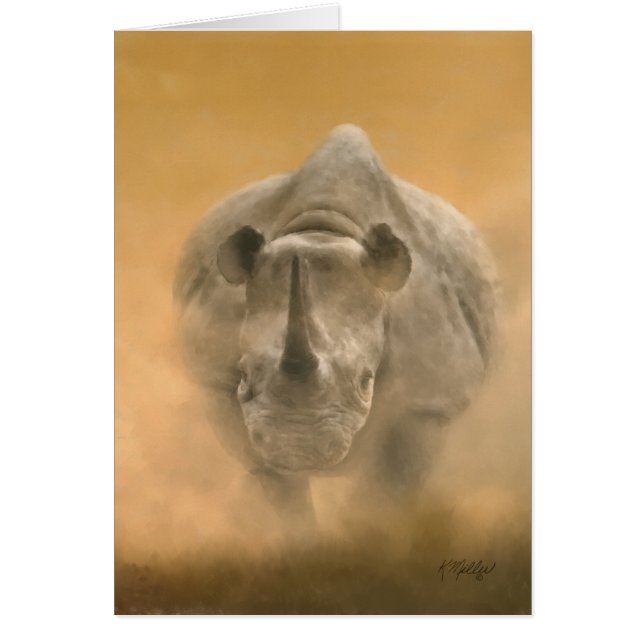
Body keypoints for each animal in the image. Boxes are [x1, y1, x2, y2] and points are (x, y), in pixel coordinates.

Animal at [174, 125, 498, 525]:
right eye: (244, 373)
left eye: (365, 381)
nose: (296, 446)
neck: (324, 229)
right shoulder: (216, 381)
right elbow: (280, 489)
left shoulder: (430, 400)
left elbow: (388, 488)